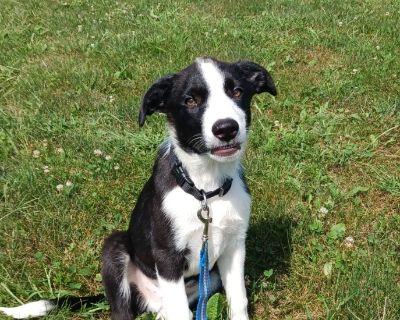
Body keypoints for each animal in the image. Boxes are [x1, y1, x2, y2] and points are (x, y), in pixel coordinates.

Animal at [0, 57, 276, 320]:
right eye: (190, 101)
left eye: (237, 92)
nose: (226, 128)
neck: (205, 189)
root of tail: (148, 300)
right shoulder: (167, 255)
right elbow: (179, 311)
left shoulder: (234, 248)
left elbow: (238, 301)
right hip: (115, 248)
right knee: (129, 311)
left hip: (211, 276)